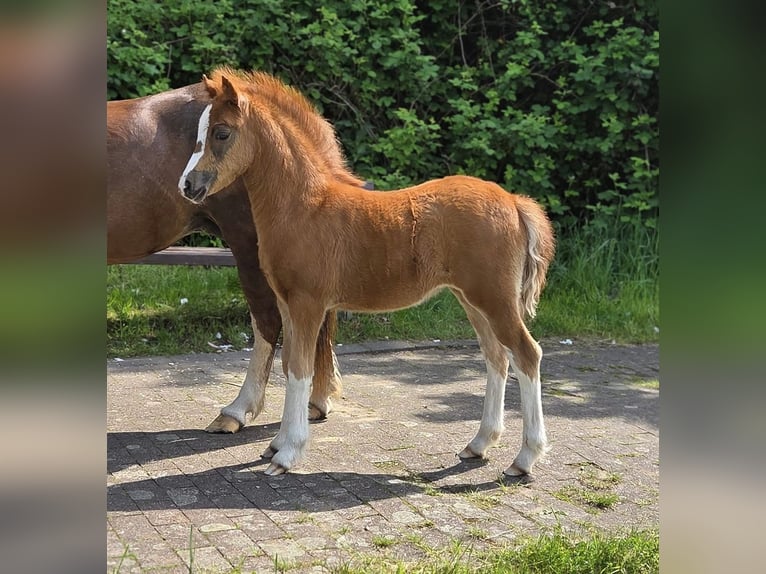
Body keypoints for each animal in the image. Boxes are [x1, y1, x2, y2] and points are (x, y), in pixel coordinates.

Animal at [177, 68, 556, 477]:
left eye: (222, 133)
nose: (187, 185)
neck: (302, 206)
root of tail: (514, 202)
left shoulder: (308, 303)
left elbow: (300, 368)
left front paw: (288, 453)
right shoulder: (289, 304)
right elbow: (289, 361)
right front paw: (276, 444)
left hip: (495, 299)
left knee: (526, 355)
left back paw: (525, 458)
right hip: (472, 299)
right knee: (496, 357)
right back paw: (479, 444)